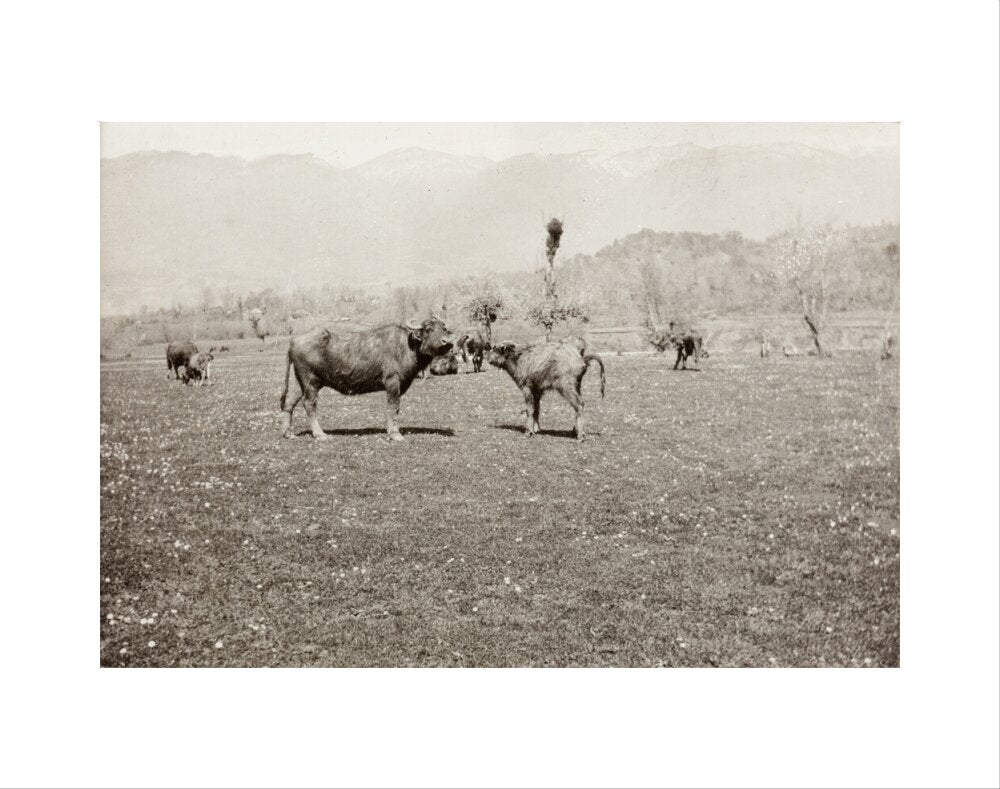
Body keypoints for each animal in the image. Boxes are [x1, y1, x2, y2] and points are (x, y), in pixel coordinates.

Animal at [279, 318, 457, 441]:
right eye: (428, 329)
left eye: (444, 328)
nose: (447, 342)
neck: (408, 346)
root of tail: (294, 341)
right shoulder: (392, 382)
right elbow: (393, 407)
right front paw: (395, 434)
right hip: (311, 381)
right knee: (309, 404)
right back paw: (320, 434)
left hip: (298, 381)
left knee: (289, 403)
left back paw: (288, 433)